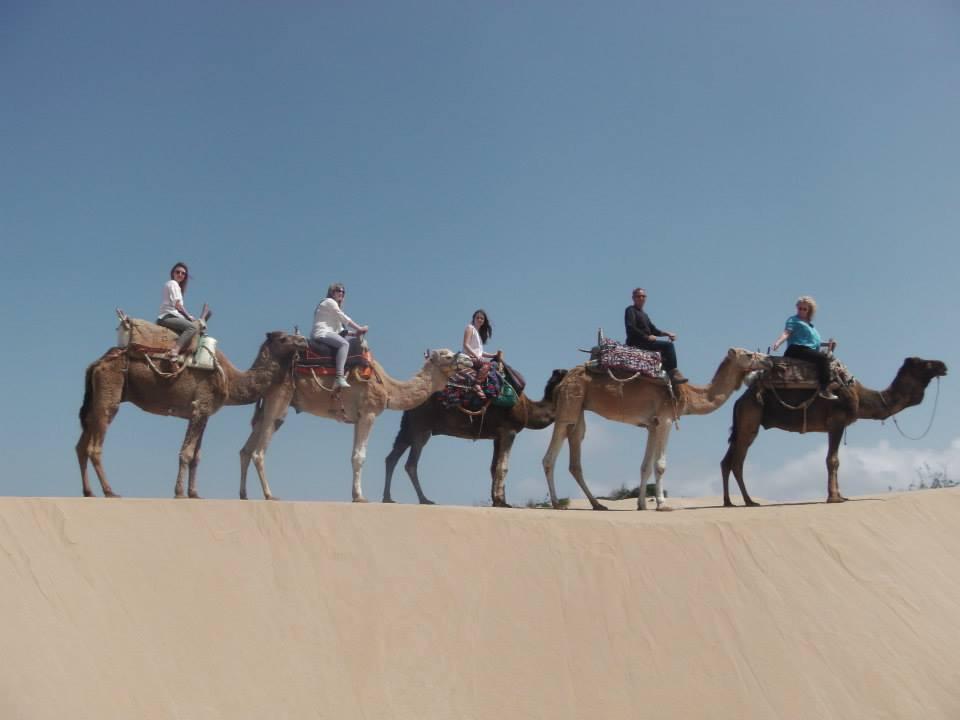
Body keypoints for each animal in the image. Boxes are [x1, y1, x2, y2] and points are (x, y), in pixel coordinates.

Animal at [77, 330, 307, 498]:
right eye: (284, 338)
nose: (303, 341)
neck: (230, 380)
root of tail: (96, 364)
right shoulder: (199, 406)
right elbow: (186, 453)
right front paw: (179, 493)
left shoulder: (204, 413)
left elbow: (197, 456)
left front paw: (194, 493)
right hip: (110, 391)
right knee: (95, 446)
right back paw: (110, 491)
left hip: (95, 400)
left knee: (81, 445)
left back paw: (89, 492)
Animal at [239, 349, 460, 502]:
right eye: (446, 356)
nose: (463, 358)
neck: (388, 387)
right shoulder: (369, 413)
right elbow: (359, 457)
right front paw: (360, 497)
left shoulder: (358, 418)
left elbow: (354, 455)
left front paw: (355, 494)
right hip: (280, 396)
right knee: (259, 450)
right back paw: (269, 495)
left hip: (267, 402)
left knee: (246, 449)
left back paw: (243, 494)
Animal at [383, 369, 569, 507]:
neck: (528, 408)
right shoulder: (509, 430)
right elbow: (503, 467)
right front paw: (503, 502)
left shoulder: (497, 435)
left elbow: (494, 467)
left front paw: (498, 501)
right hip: (421, 427)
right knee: (410, 463)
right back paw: (424, 500)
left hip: (408, 427)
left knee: (391, 457)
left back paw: (388, 498)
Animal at [542, 347, 766, 510]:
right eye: (748, 354)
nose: (768, 360)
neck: (688, 394)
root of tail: (563, 380)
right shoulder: (666, 419)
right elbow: (660, 465)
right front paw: (662, 504)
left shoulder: (652, 425)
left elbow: (645, 466)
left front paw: (641, 504)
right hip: (569, 404)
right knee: (550, 456)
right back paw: (557, 504)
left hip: (578, 410)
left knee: (575, 455)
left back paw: (597, 504)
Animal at [720, 356, 948, 506]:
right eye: (925, 363)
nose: (943, 365)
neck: (860, 397)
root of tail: (740, 400)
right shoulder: (836, 422)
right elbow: (833, 460)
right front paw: (834, 497)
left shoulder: (836, 425)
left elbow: (835, 460)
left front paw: (841, 495)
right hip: (750, 420)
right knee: (738, 461)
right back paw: (749, 501)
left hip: (743, 423)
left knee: (727, 460)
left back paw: (729, 502)